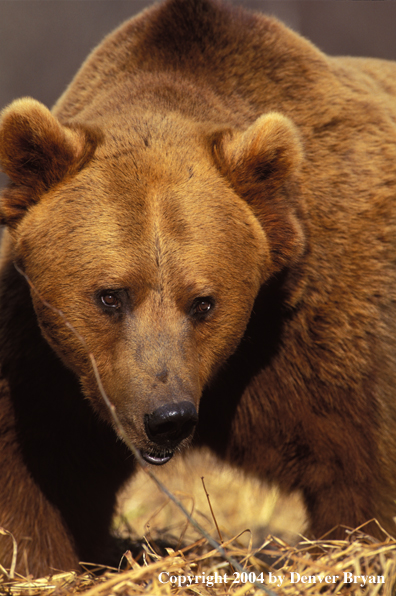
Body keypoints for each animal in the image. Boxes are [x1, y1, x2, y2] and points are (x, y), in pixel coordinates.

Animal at [0, 0, 396, 576]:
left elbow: (361, 476)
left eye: (203, 302)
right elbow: (37, 470)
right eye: (110, 295)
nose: (167, 417)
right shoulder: (46, 351)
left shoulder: (330, 319)